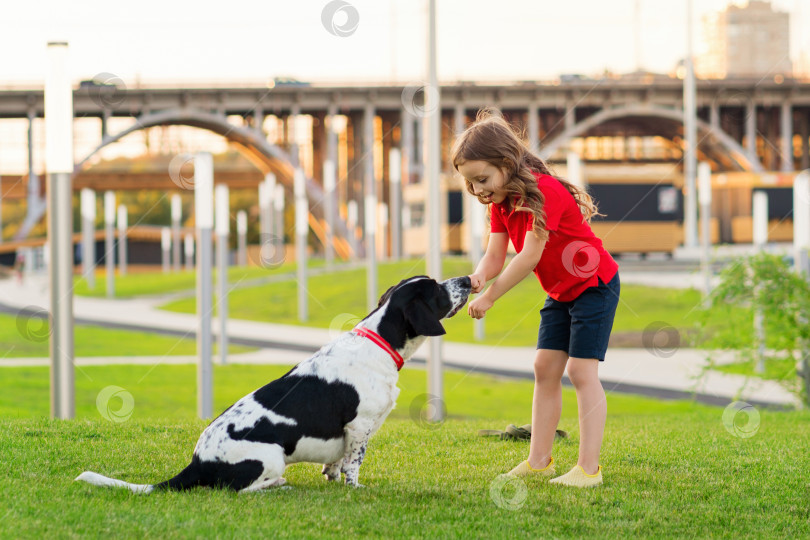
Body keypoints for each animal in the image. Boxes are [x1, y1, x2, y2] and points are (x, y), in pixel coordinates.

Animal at [76, 276, 470, 492]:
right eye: (436, 288)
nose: (468, 280)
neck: (379, 341)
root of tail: (197, 462)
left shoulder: (347, 435)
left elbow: (337, 462)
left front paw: (332, 478)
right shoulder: (360, 427)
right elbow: (353, 465)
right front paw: (354, 488)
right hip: (273, 458)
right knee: (240, 490)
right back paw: (276, 486)